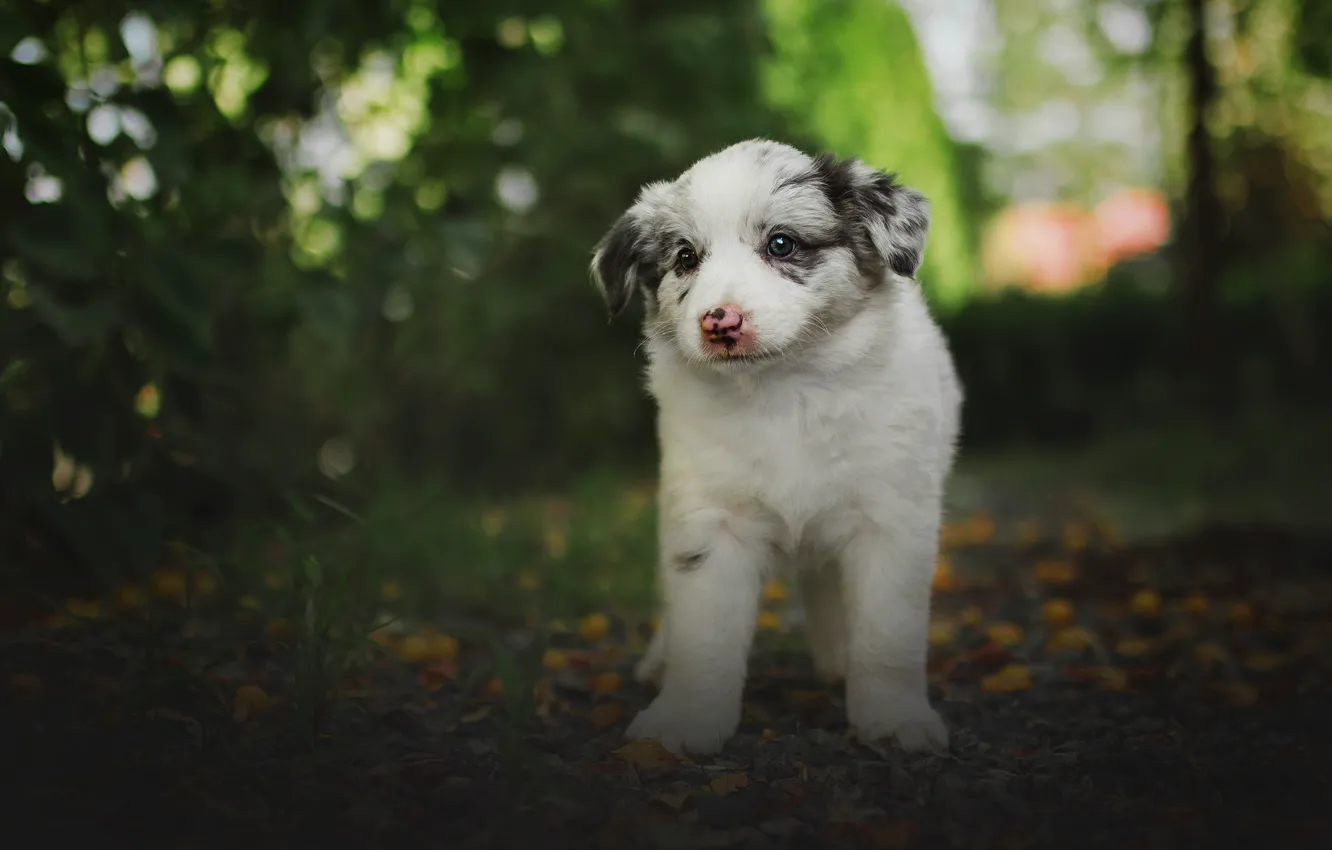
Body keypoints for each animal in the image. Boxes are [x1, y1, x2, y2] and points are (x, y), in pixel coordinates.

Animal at [588, 139, 964, 756]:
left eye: (781, 244)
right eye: (685, 257)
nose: (721, 322)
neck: (783, 390)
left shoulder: (891, 517)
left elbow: (886, 633)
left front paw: (894, 717)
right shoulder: (708, 518)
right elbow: (704, 630)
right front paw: (685, 718)